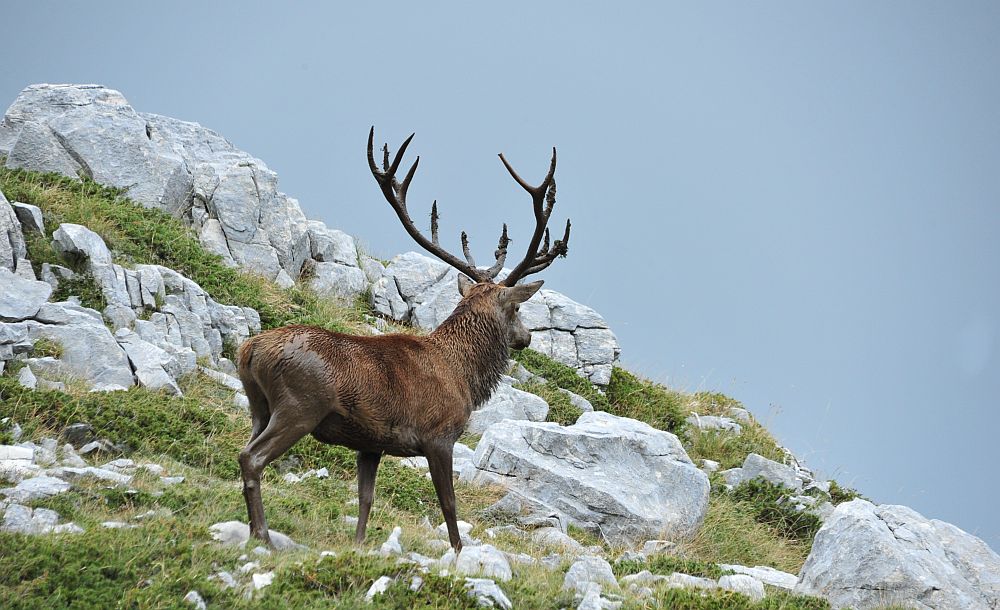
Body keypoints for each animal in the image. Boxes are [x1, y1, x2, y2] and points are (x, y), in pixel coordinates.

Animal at [235, 128, 576, 552]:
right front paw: (458, 552)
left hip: (259, 406)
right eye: (515, 308)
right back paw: (261, 534)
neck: (463, 377)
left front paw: (359, 545)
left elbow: (365, 499)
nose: (526, 337)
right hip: (299, 405)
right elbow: (448, 504)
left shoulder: (370, 442)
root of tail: (249, 349)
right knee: (252, 457)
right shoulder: (439, 435)